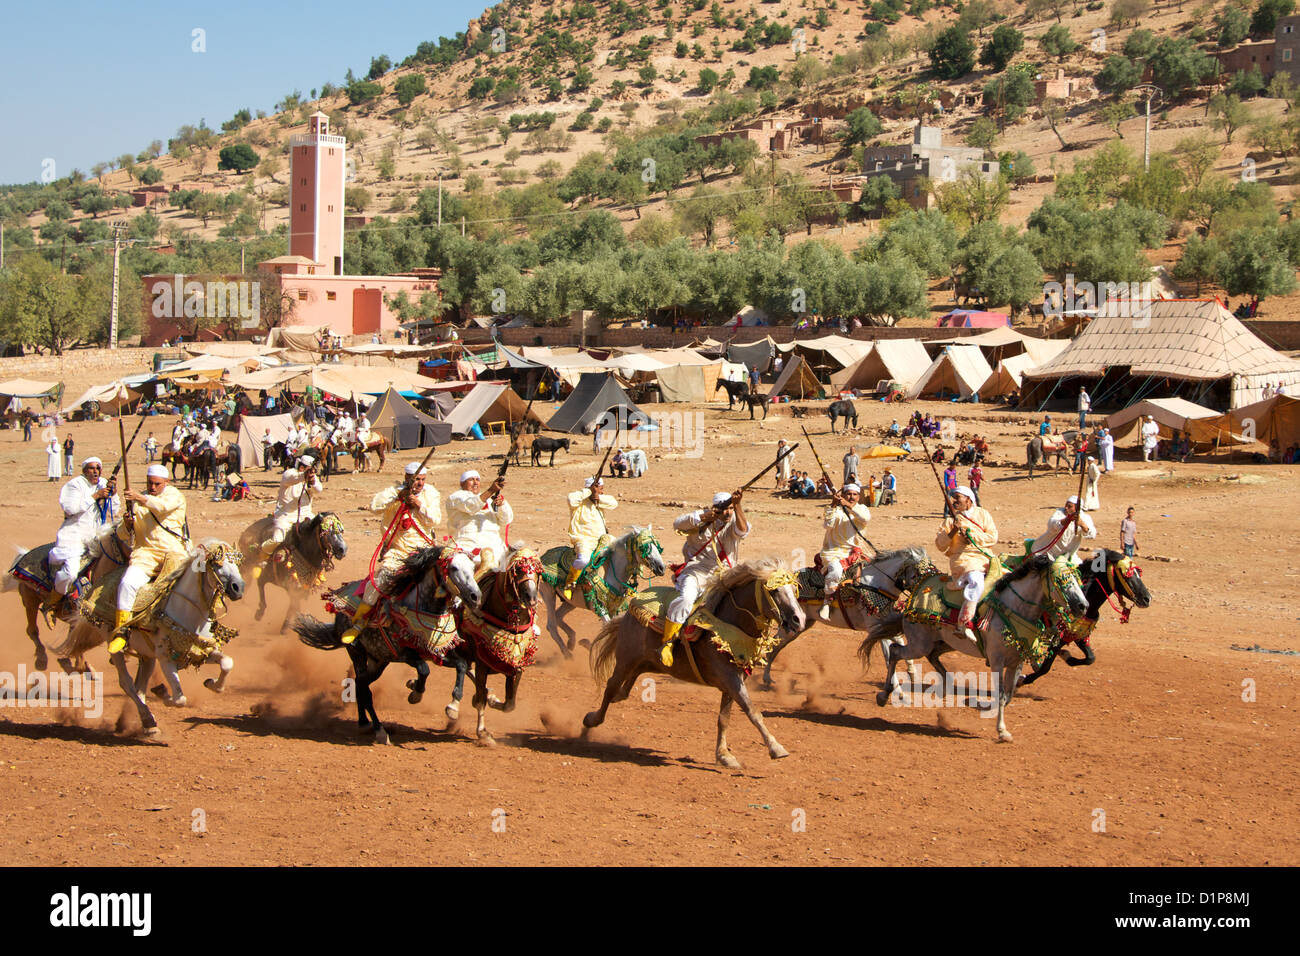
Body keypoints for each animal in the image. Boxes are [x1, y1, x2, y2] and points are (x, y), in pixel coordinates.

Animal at [3, 522, 133, 671]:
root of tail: (23, 556)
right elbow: (77, 643)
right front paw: (81, 665)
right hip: (30, 601)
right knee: (32, 630)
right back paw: (42, 659)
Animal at [52, 541, 244, 738]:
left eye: (237, 563)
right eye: (217, 563)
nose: (238, 588)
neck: (187, 610)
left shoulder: (200, 651)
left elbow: (227, 663)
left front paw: (213, 684)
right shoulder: (165, 658)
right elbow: (179, 698)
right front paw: (162, 692)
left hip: (147, 655)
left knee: (140, 686)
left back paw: (145, 723)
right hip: (113, 643)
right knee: (127, 683)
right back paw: (148, 718)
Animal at [535, 528, 665, 660]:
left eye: (657, 546)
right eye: (642, 547)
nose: (661, 568)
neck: (611, 573)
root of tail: (542, 557)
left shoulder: (613, 607)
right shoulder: (599, 607)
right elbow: (608, 628)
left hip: (570, 602)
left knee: (558, 616)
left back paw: (571, 641)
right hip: (548, 594)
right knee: (551, 625)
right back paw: (568, 654)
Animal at [585, 561, 806, 770]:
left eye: (793, 589)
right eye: (774, 590)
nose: (799, 619)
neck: (727, 626)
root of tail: (631, 609)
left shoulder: (733, 682)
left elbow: (724, 718)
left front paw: (724, 756)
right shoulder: (731, 680)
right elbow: (753, 712)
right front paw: (776, 748)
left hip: (647, 663)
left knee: (624, 688)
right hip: (625, 659)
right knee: (611, 686)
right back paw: (591, 720)